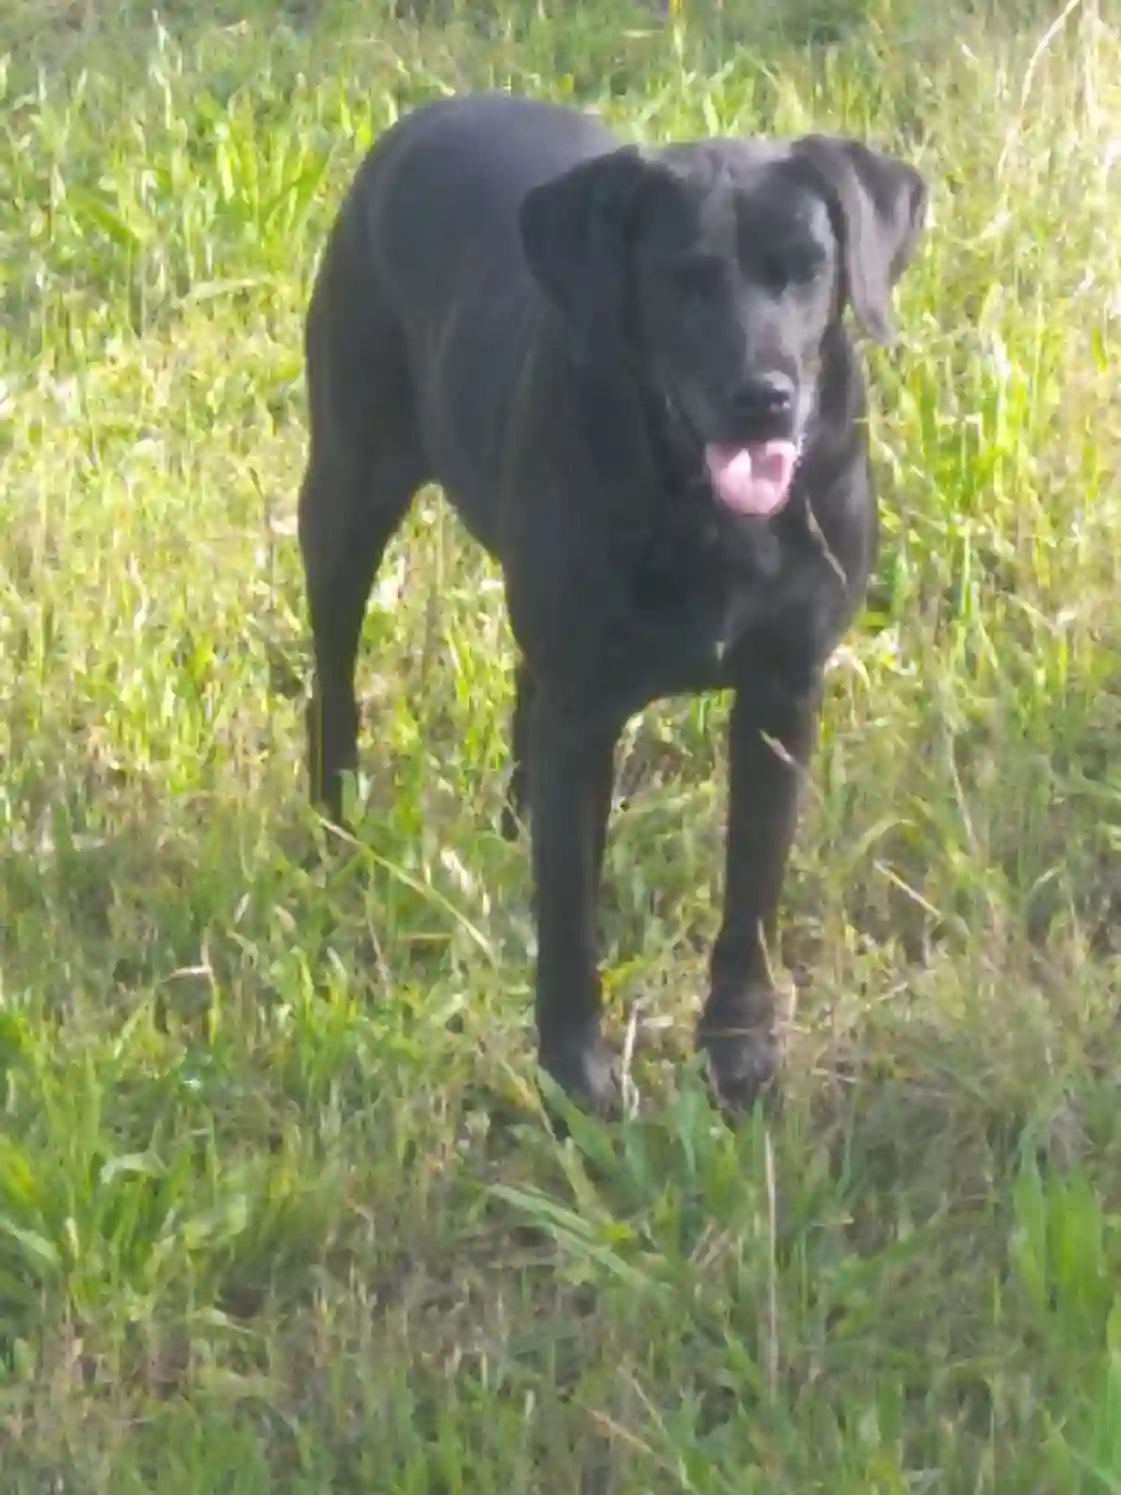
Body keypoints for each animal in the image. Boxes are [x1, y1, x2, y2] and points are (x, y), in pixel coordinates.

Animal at [294, 93, 926, 1118]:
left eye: (806, 267)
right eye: (681, 281)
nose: (762, 397)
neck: (702, 509)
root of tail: (427, 114)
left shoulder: (782, 692)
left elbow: (752, 889)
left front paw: (739, 1052)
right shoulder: (586, 702)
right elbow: (569, 915)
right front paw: (576, 1076)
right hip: (349, 483)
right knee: (337, 670)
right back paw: (337, 819)